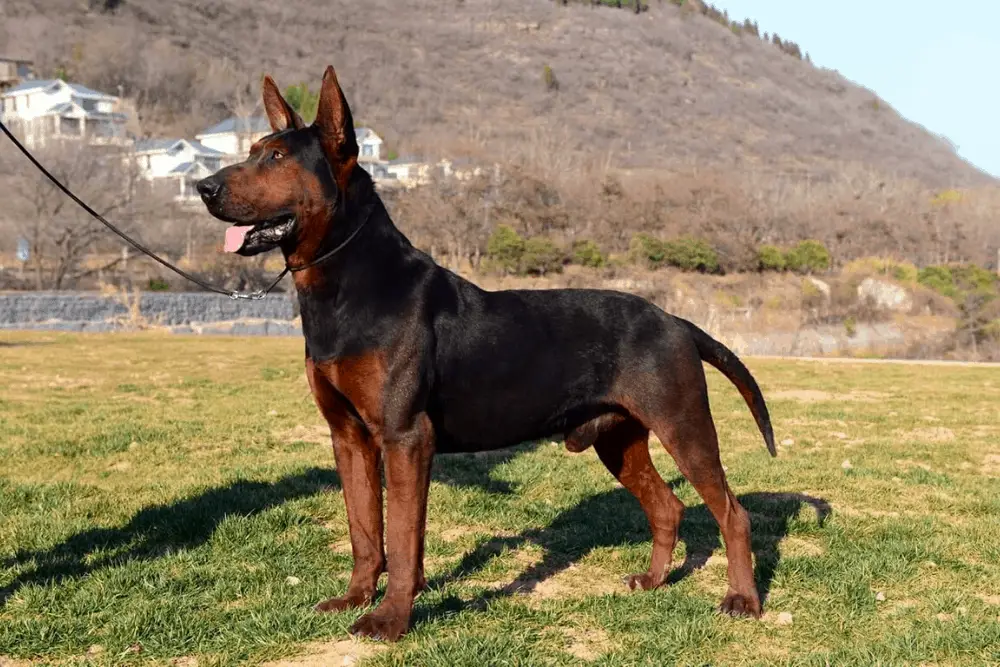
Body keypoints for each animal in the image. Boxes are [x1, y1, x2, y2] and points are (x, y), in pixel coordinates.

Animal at [193, 66, 772, 640]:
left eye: (277, 158)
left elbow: (401, 537)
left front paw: (389, 619)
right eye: (252, 150)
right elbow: (365, 532)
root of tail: (674, 320)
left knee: (732, 513)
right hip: (619, 439)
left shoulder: (405, 437)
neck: (347, 284)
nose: (203, 187)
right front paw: (356, 598)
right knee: (668, 507)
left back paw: (742, 599)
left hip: (684, 426)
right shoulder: (349, 437)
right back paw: (653, 581)